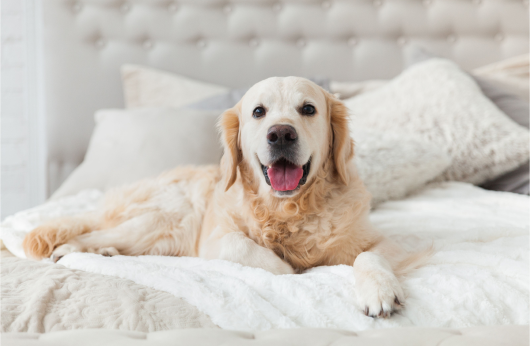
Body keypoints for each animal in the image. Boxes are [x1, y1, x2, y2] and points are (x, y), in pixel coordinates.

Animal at [23, 77, 424, 318]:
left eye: (308, 109)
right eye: (258, 111)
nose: (281, 134)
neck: (287, 209)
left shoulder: (386, 242)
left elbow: (369, 255)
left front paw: (380, 290)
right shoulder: (213, 240)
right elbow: (247, 249)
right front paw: (291, 270)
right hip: (165, 221)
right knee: (95, 230)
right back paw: (72, 249)